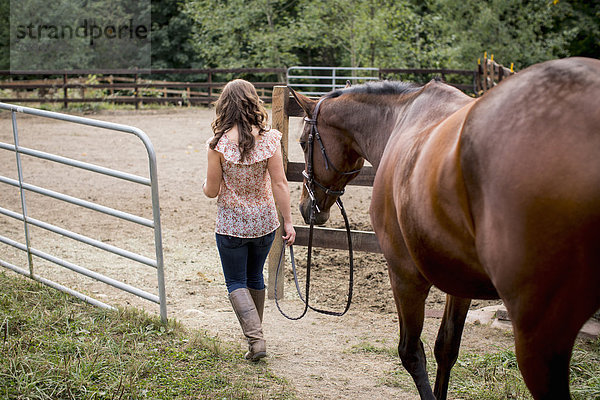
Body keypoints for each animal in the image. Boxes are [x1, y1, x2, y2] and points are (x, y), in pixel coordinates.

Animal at [290, 57, 600, 400]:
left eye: (303, 142)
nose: (306, 207)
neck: (400, 120)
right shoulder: (458, 281)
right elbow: (446, 348)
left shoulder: (405, 276)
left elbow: (411, 352)